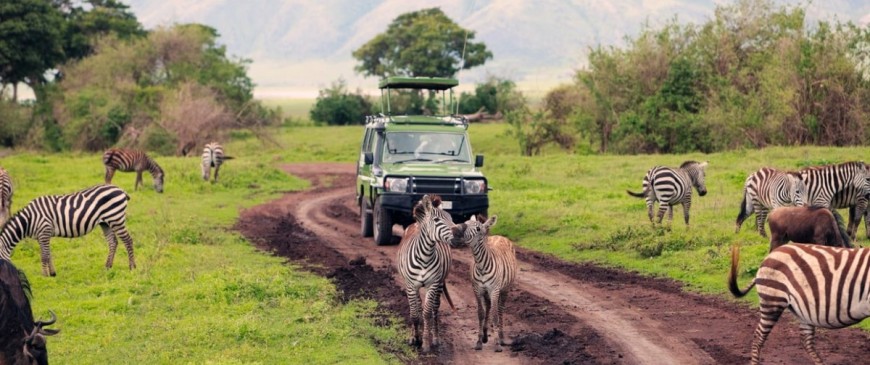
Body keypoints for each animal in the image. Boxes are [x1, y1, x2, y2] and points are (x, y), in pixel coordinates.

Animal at [0, 185, 136, 276]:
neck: (29, 219)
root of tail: (120, 189)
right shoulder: (42, 236)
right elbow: (48, 254)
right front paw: (52, 273)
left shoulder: (44, 231)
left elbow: (44, 256)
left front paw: (44, 275)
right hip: (106, 222)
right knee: (113, 242)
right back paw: (108, 266)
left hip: (116, 218)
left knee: (128, 240)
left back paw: (132, 267)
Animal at [398, 195, 456, 352]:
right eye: (437, 220)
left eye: (451, 218)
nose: (459, 233)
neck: (425, 256)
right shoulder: (410, 285)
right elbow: (414, 313)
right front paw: (414, 338)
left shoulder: (433, 284)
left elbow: (427, 313)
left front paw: (425, 343)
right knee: (417, 307)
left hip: (440, 284)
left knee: (435, 309)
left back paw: (435, 338)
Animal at [450, 213, 516, 350]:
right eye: (465, 222)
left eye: (478, 229)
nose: (455, 231)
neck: (481, 265)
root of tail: (500, 236)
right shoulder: (477, 289)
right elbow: (481, 313)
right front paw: (479, 341)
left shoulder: (494, 290)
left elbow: (495, 316)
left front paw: (497, 344)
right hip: (487, 292)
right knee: (489, 306)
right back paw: (486, 335)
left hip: (505, 289)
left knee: (500, 310)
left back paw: (501, 337)